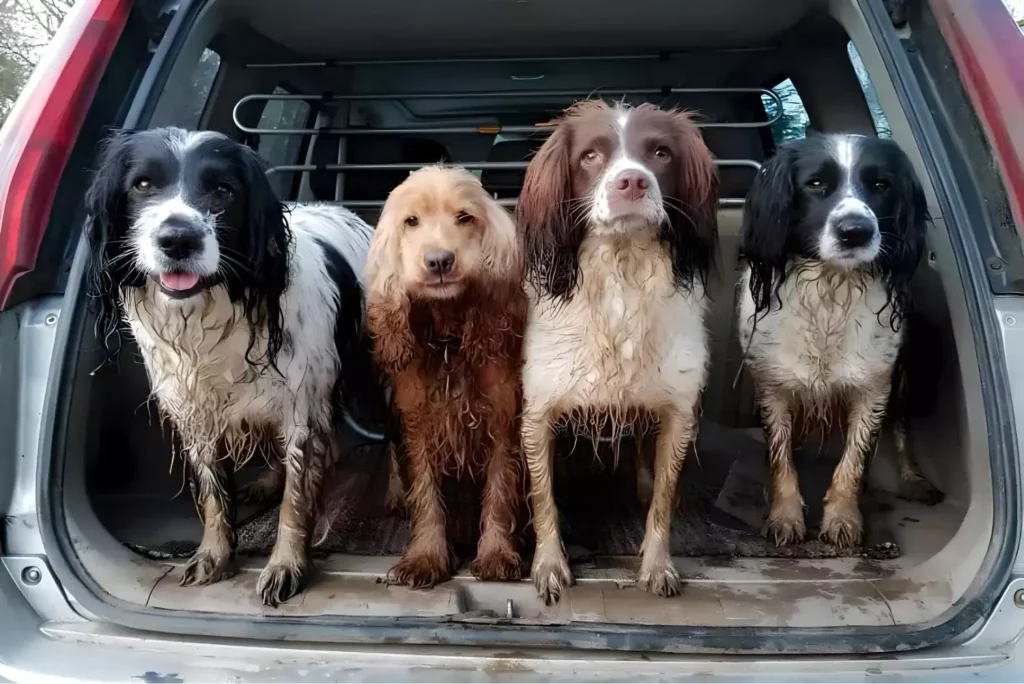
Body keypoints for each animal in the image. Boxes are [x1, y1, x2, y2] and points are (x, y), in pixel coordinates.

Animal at [86, 126, 382, 602]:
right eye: (142, 185)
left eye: (223, 189)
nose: (178, 239)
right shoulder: (196, 413)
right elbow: (213, 492)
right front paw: (214, 555)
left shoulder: (302, 405)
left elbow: (296, 500)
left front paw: (286, 564)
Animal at [366, 165, 528, 589]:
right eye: (411, 222)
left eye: (465, 217)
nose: (439, 261)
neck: (448, 340)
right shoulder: (418, 421)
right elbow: (425, 492)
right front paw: (425, 557)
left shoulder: (502, 419)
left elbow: (499, 490)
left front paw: (496, 553)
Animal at [516, 101, 716, 602]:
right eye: (590, 156)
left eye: (661, 153)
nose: (633, 182)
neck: (621, 276)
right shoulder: (538, 412)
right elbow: (543, 499)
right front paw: (549, 565)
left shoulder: (678, 410)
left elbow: (663, 500)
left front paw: (657, 565)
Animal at [737, 133, 942, 548]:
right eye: (815, 183)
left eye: (881, 185)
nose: (856, 231)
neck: (831, 291)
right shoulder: (772, 387)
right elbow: (781, 457)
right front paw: (785, 516)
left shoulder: (875, 387)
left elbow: (855, 458)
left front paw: (843, 518)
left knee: (901, 429)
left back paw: (913, 480)